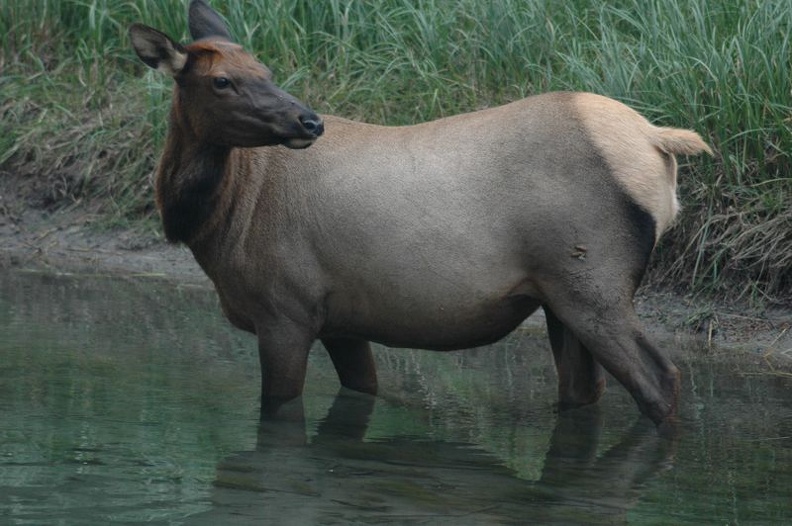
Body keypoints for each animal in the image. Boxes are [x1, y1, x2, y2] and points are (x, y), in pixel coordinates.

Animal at [130, 0, 712, 428]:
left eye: (264, 70)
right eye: (222, 80)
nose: (307, 121)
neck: (217, 224)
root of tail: (656, 141)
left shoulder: (285, 310)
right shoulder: (341, 320)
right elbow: (362, 392)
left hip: (592, 281)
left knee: (660, 379)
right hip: (557, 297)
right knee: (583, 389)